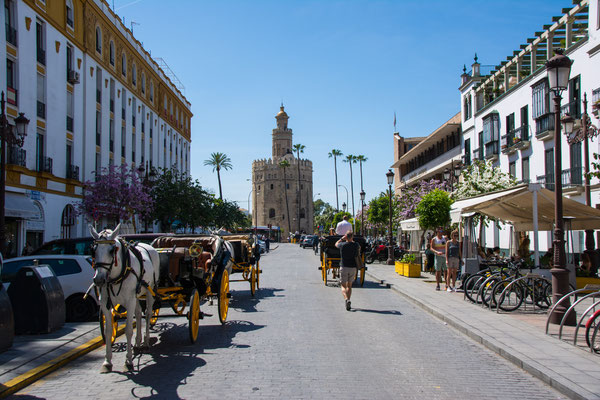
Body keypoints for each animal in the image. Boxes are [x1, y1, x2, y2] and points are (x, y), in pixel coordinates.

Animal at [89, 225, 159, 372]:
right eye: (93, 250)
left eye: (112, 250)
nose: (99, 279)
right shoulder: (105, 303)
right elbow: (108, 331)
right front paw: (107, 362)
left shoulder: (129, 301)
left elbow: (128, 330)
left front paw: (128, 361)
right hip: (137, 294)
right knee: (138, 314)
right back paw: (137, 343)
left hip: (150, 290)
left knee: (148, 314)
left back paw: (145, 342)